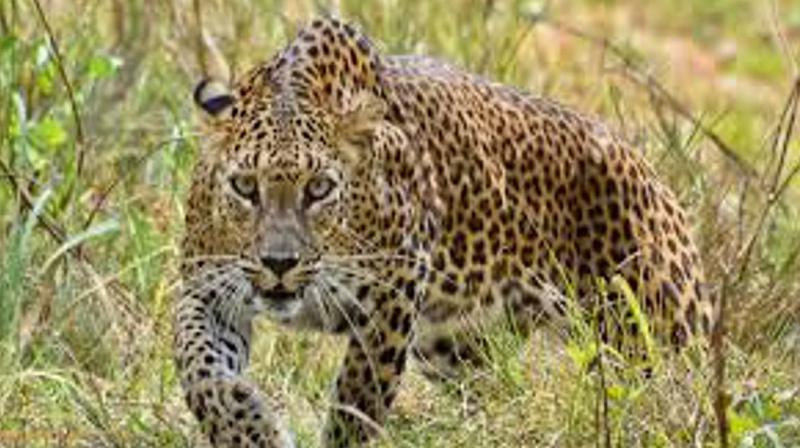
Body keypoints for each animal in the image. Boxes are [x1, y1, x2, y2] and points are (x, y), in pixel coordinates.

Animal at [173, 16, 714, 448]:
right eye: (245, 186)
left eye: (319, 188)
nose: (279, 264)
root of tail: (648, 170)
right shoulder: (207, 288)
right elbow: (198, 366)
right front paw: (248, 426)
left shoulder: (391, 297)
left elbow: (357, 399)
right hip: (456, 346)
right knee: (496, 390)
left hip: (657, 334)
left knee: (684, 393)